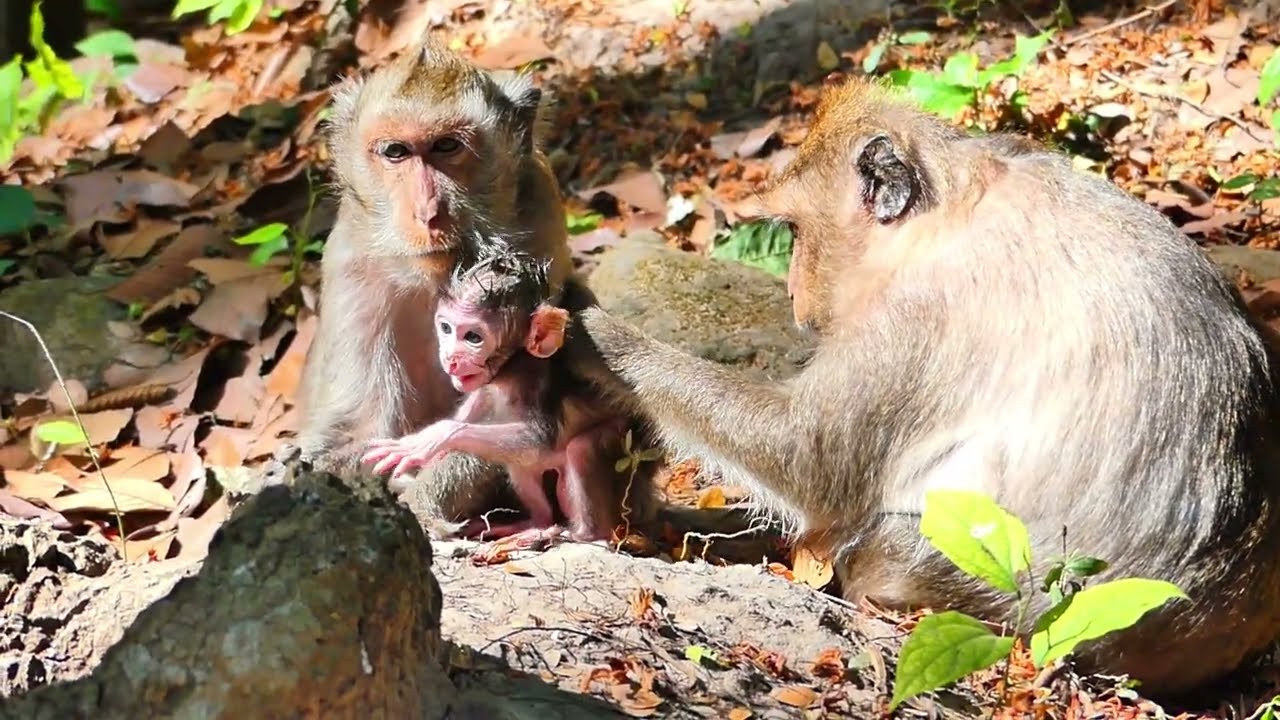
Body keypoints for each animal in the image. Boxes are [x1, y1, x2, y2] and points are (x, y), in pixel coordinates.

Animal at [294, 38, 587, 535]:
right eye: (396, 152)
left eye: (446, 146)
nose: (428, 212)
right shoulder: (353, 266)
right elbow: (358, 428)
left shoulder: (540, 231)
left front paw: (421, 497)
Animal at [361, 245, 636, 546]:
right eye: (446, 328)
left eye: (473, 337)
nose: (451, 358)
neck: (509, 370)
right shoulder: (485, 387)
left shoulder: (531, 381)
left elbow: (538, 439)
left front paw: (432, 438)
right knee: (520, 464)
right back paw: (537, 522)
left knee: (579, 450)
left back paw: (584, 533)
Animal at [569, 75, 1280, 698]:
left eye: (796, 233)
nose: (794, 293)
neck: (952, 211)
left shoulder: (916, 315)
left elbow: (811, 461)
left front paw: (599, 336)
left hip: (1007, 604)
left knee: (876, 540)